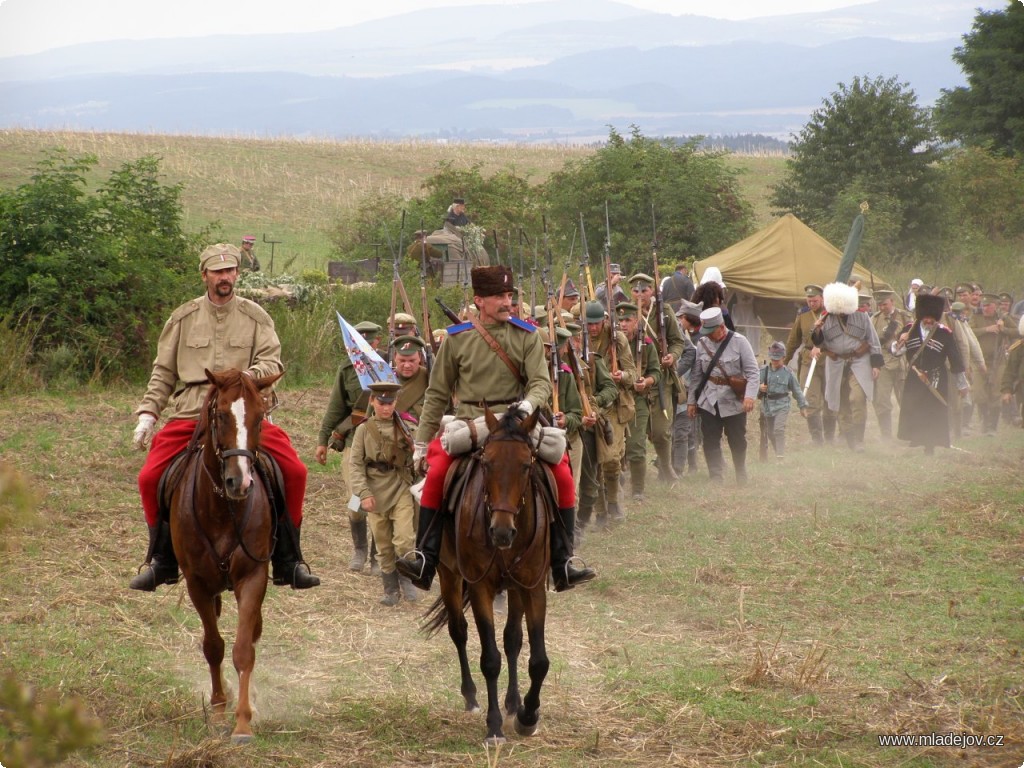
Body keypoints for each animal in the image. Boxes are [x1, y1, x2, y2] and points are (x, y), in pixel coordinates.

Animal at [169, 366, 280, 745]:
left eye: (260, 417)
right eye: (220, 416)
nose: (240, 482)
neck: (221, 509)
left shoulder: (253, 578)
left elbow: (244, 649)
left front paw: (243, 722)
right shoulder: (197, 584)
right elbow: (213, 646)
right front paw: (218, 708)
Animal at [423, 409, 552, 745]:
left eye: (526, 465)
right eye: (487, 463)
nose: (501, 532)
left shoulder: (533, 587)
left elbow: (538, 660)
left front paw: (527, 716)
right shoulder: (479, 586)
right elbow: (490, 659)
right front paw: (494, 727)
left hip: (515, 589)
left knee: (512, 639)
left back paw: (513, 702)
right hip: (449, 574)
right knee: (458, 631)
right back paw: (470, 697)